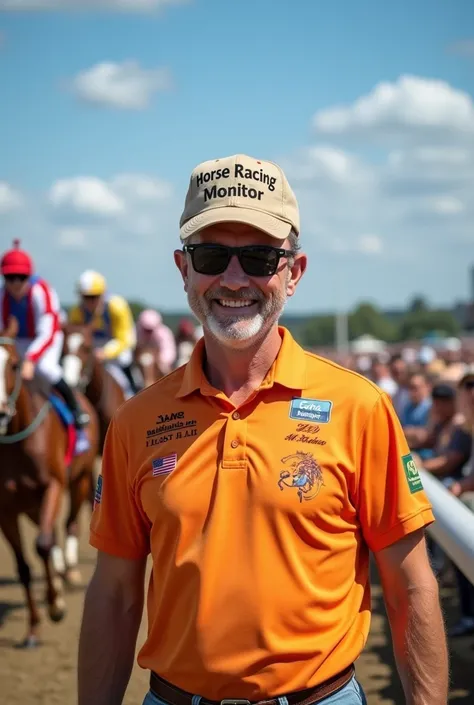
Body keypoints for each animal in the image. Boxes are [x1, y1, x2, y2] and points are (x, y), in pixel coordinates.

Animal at [0, 316, 99, 648]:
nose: (0, 412)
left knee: (67, 525)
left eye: (14, 365)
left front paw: (56, 606)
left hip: (79, 482)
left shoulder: (52, 487)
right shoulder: (6, 509)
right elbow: (23, 566)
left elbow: (42, 545)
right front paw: (33, 629)